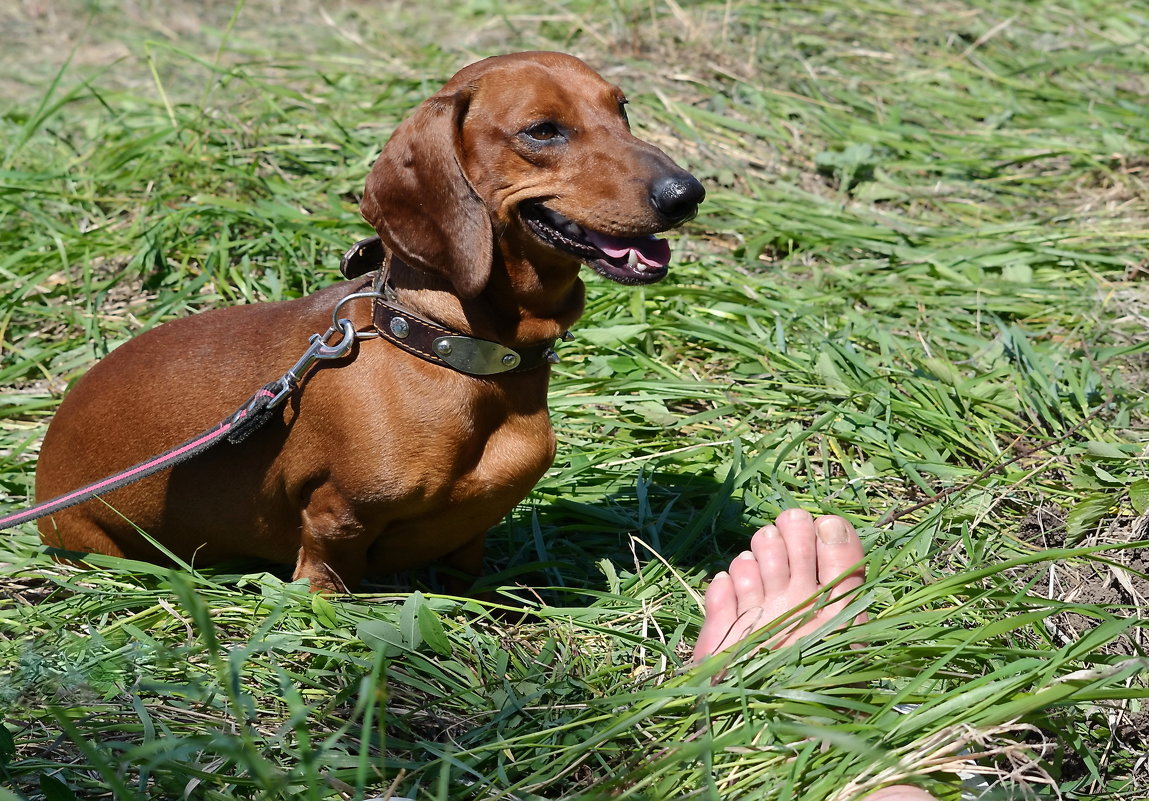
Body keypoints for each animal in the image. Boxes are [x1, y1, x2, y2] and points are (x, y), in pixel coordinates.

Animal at [33, 49, 698, 588]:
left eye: (622, 110)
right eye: (542, 130)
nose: (687, 193)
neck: (451, 349)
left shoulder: (471, 543)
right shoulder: (336, 523)